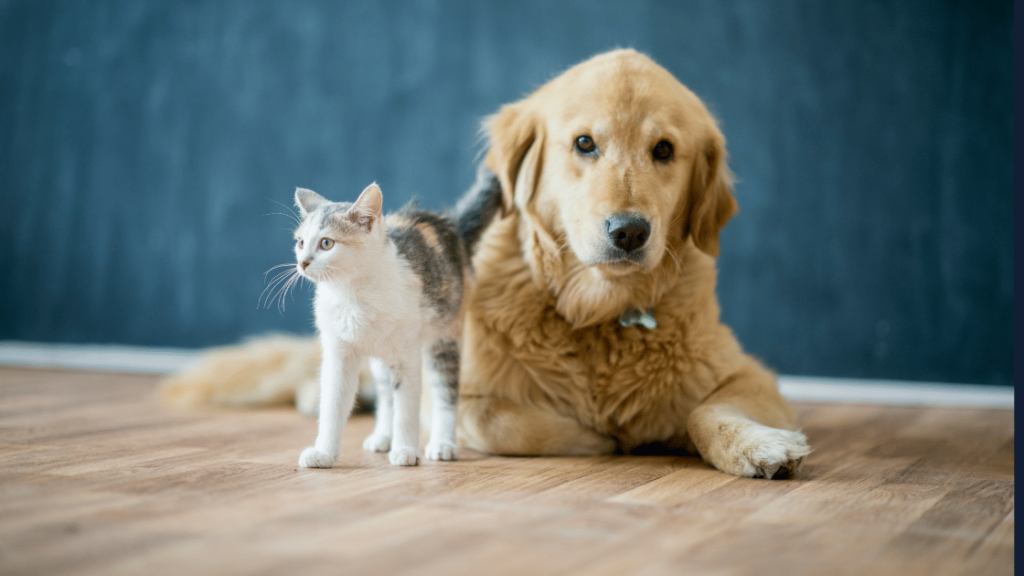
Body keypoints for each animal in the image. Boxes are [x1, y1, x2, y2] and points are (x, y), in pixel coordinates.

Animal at [290, 183, 485, 467]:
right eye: (301, 242)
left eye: (326, 243)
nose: (302, 262)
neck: (352, 294)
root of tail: (448, 223)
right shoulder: (338, 353)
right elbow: (333, 405)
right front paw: (324, 452)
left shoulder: (408, 353)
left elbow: (407, 404)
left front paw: (405, 450)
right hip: (382, 359)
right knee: (386, 393)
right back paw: (383, 436)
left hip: (445, 334)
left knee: (444, 391)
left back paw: (442, 443)